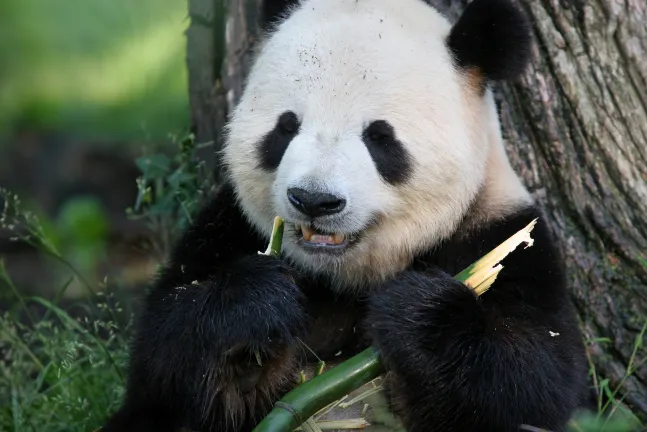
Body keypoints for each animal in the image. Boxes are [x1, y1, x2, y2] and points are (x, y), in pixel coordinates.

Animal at [102, 0, 592, 432]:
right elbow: (163, 351)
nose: (314, 200)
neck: (344, 276)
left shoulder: (503, 237)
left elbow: (535, 379)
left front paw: (416, 312)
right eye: (286, 126)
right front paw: (257, 309)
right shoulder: (228, 225)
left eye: (379, 137)